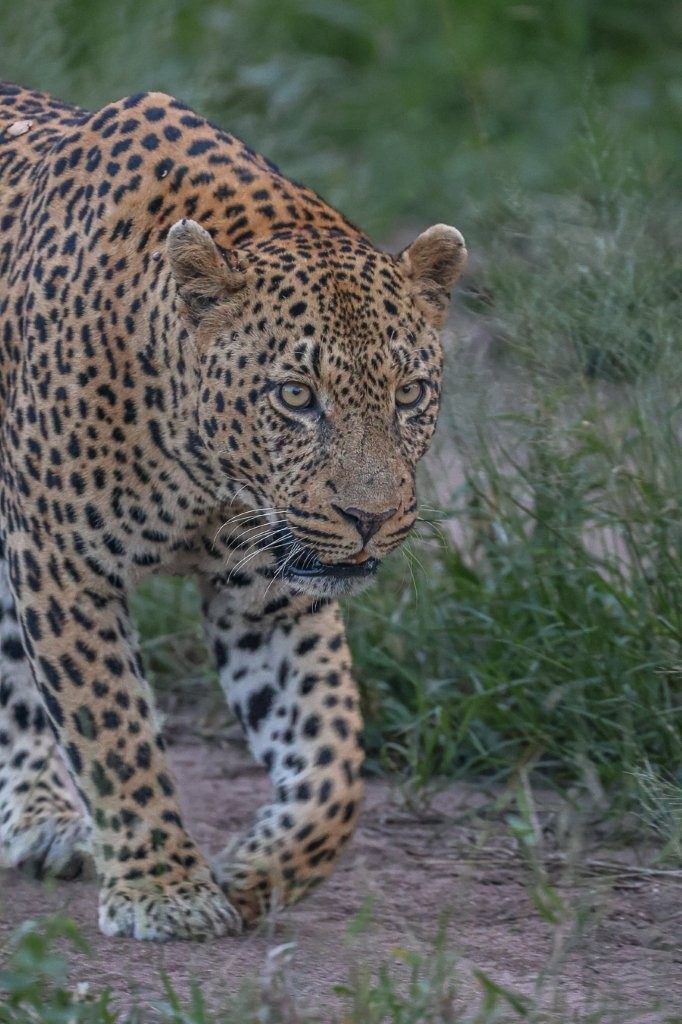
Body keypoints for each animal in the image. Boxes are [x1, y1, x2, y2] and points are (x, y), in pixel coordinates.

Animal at [0, 82, 467, 941]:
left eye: (410, 393)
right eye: (296, 396)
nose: (370, 518)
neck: (210, 478)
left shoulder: (272, 599)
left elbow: (335, 762)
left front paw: (256, 872)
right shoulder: (65, 563)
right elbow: (113, 728)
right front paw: (164, 890)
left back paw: (42, 818)